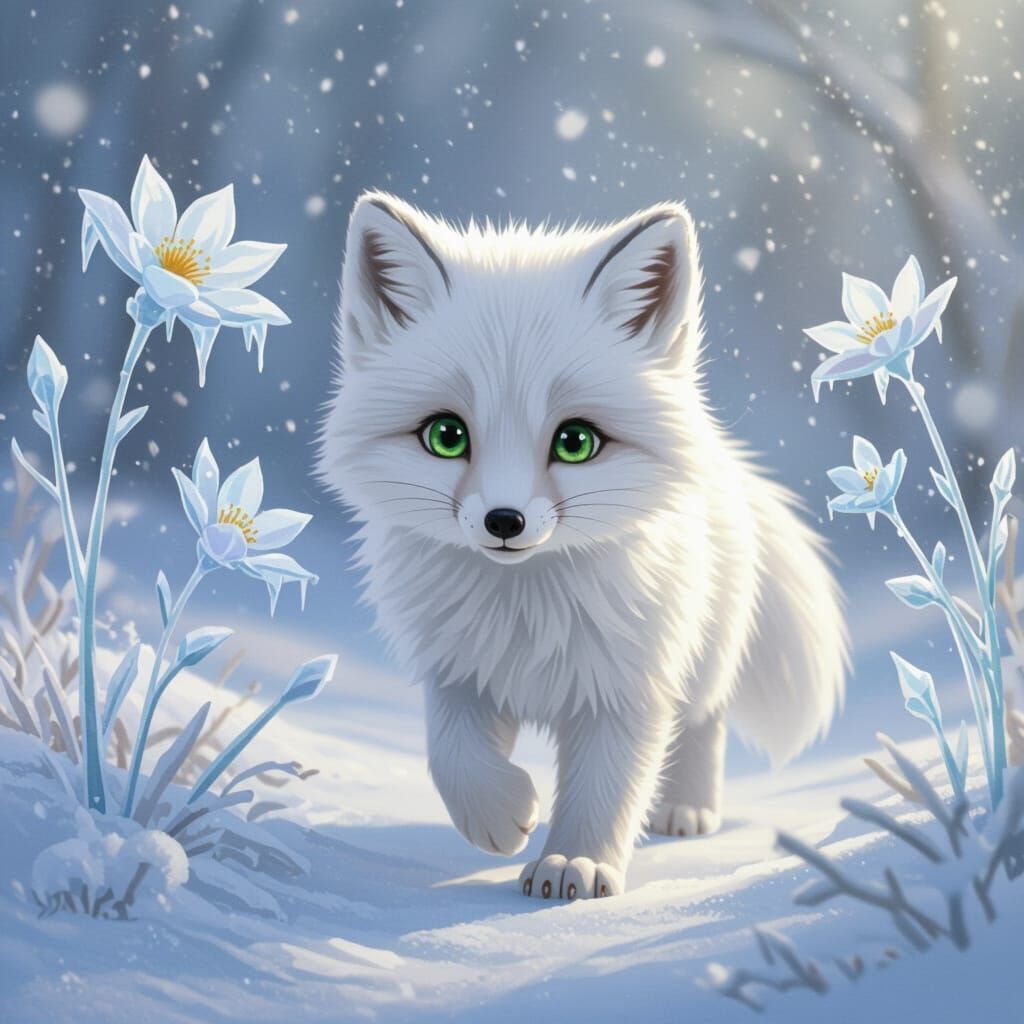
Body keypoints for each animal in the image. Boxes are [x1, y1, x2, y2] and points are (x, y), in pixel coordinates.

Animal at [318, 192, 848, 900]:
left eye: (575, 443)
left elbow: (605, 789)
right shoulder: (458, 668)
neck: (526, 611)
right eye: (447, 436)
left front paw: (576, 862)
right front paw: (504, 815)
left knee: (703, 722)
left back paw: (685, 809)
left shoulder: (626, 689)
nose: (504, 521)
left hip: (701, 654)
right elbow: (452, 757)